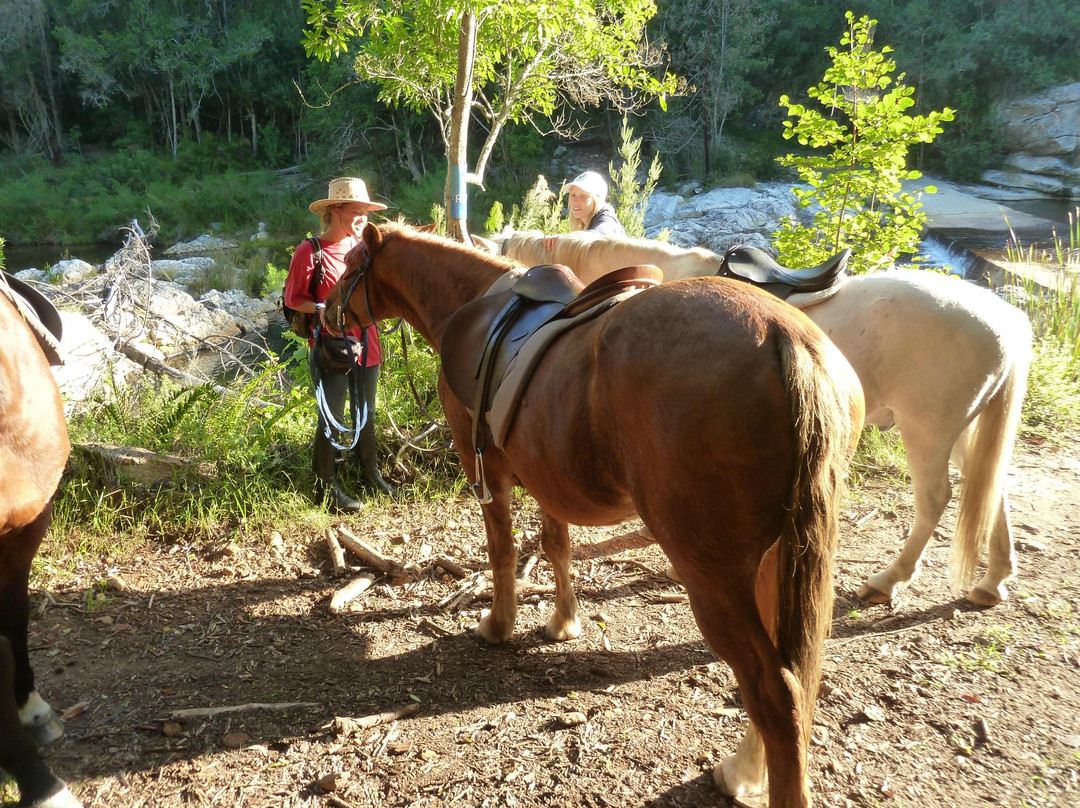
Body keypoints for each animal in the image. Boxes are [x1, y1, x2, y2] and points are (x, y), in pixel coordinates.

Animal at [326, 223, 864, 807]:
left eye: (349, 266)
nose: (322, 318)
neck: (475, 305)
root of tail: (783, 336)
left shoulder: (484, 467)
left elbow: (502, 551)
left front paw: (499, 624)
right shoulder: (546, 476)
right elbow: (557, 547)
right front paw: (563, 622)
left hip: (714, 576)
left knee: (775, 694)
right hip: (774, 559)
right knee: (791, 678)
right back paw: (743, 770)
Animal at [498, 229, 1034, 607]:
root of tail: (1007, 321)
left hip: (927, 430)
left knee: (936, 499)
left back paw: (888, 580)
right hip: (964, 429)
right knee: (991, 487)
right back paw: (993, 582)